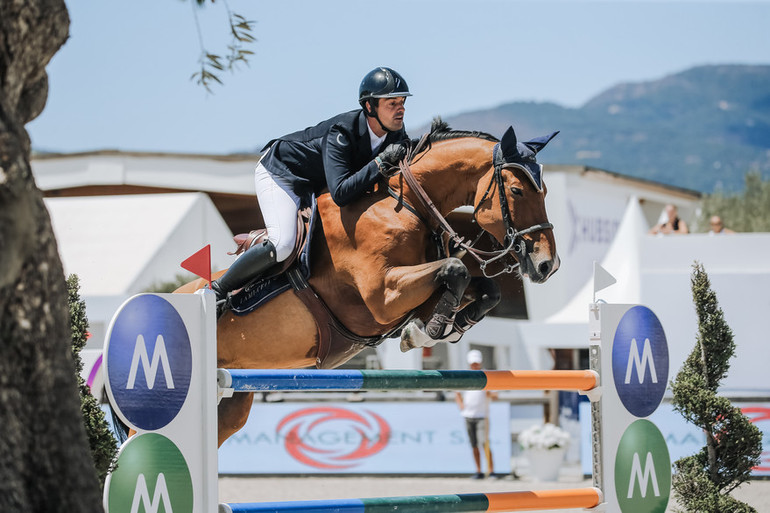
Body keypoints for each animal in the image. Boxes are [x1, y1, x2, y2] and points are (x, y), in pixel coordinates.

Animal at [178, 120, 560, 444]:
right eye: (517, 190)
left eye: (544, 191)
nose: (547, 265)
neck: (405, 206)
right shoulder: (382, 297)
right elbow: (456, 269)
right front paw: (430, 331)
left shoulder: (414, 295)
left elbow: (482, 288)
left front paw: (440, 328)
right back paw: (215, 297)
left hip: (234, 395)